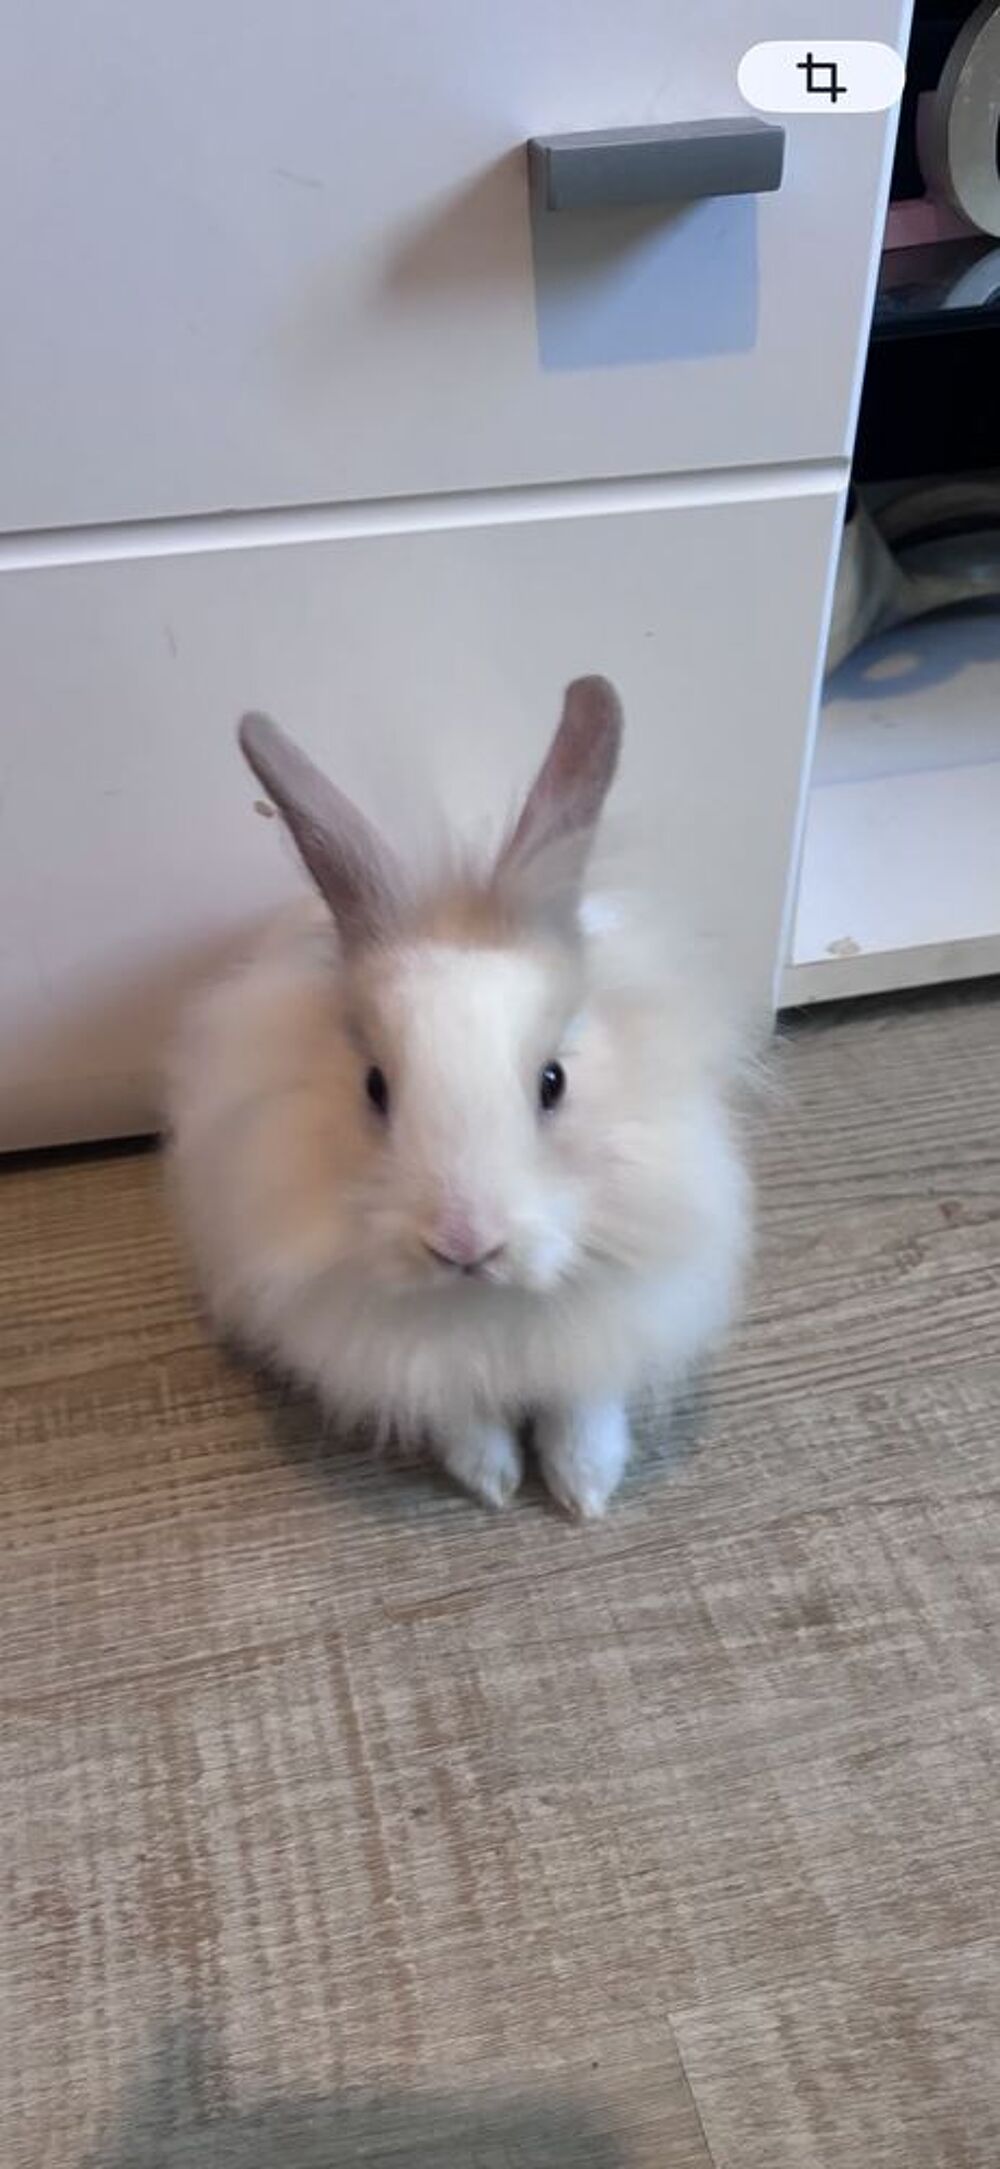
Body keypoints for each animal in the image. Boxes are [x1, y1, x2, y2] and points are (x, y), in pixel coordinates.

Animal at [167, 676, 749, 1517]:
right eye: (375, 1085)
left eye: (553, 1080)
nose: (465, 1245)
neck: (483, 1307)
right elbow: (464, 1418)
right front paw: (495, 1484)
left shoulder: (611, 1324)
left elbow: (585, 1411)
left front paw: (584, 1493)